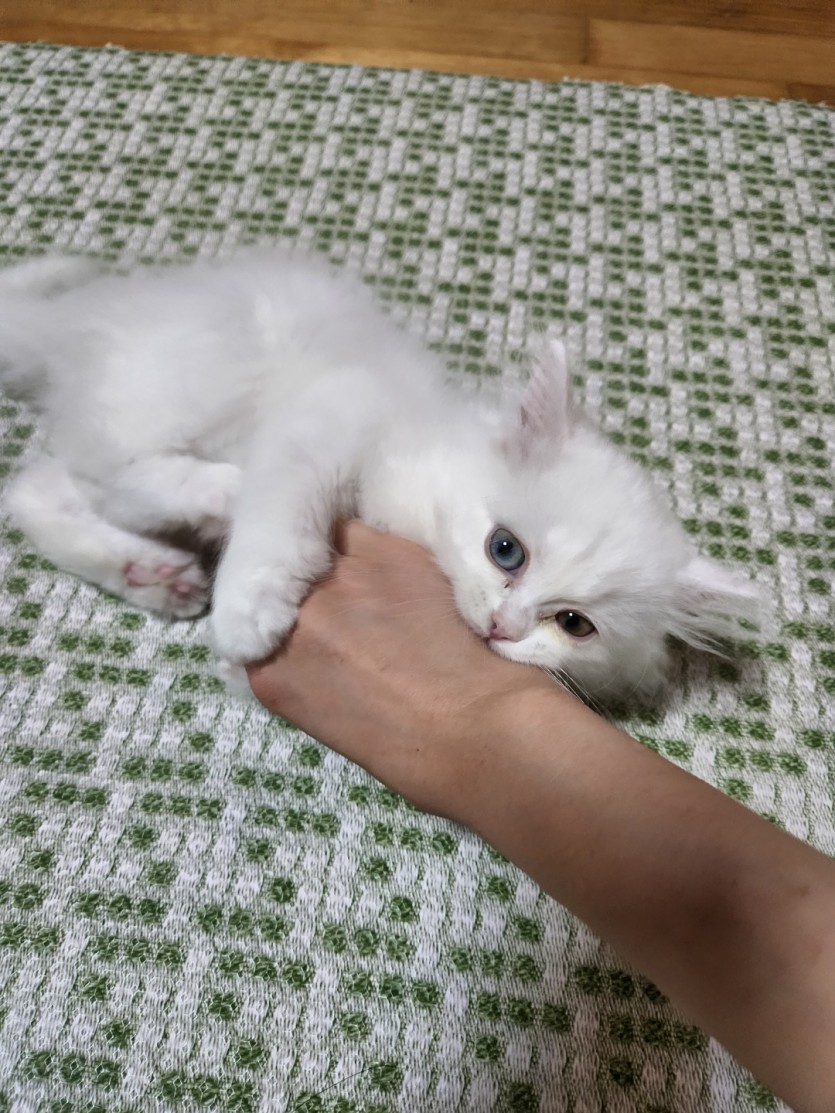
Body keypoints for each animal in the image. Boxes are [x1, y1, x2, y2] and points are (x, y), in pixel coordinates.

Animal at [0, 248, 757, 703]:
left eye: (574, 624)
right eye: (504, 550)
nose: (503, 627)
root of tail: (80, 320)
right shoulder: (335, 412)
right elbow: (282, 515)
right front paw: (249, 612)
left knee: (40, 488)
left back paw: (157, 573)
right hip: (189, 381)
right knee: (108, 479)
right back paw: (209, 505)